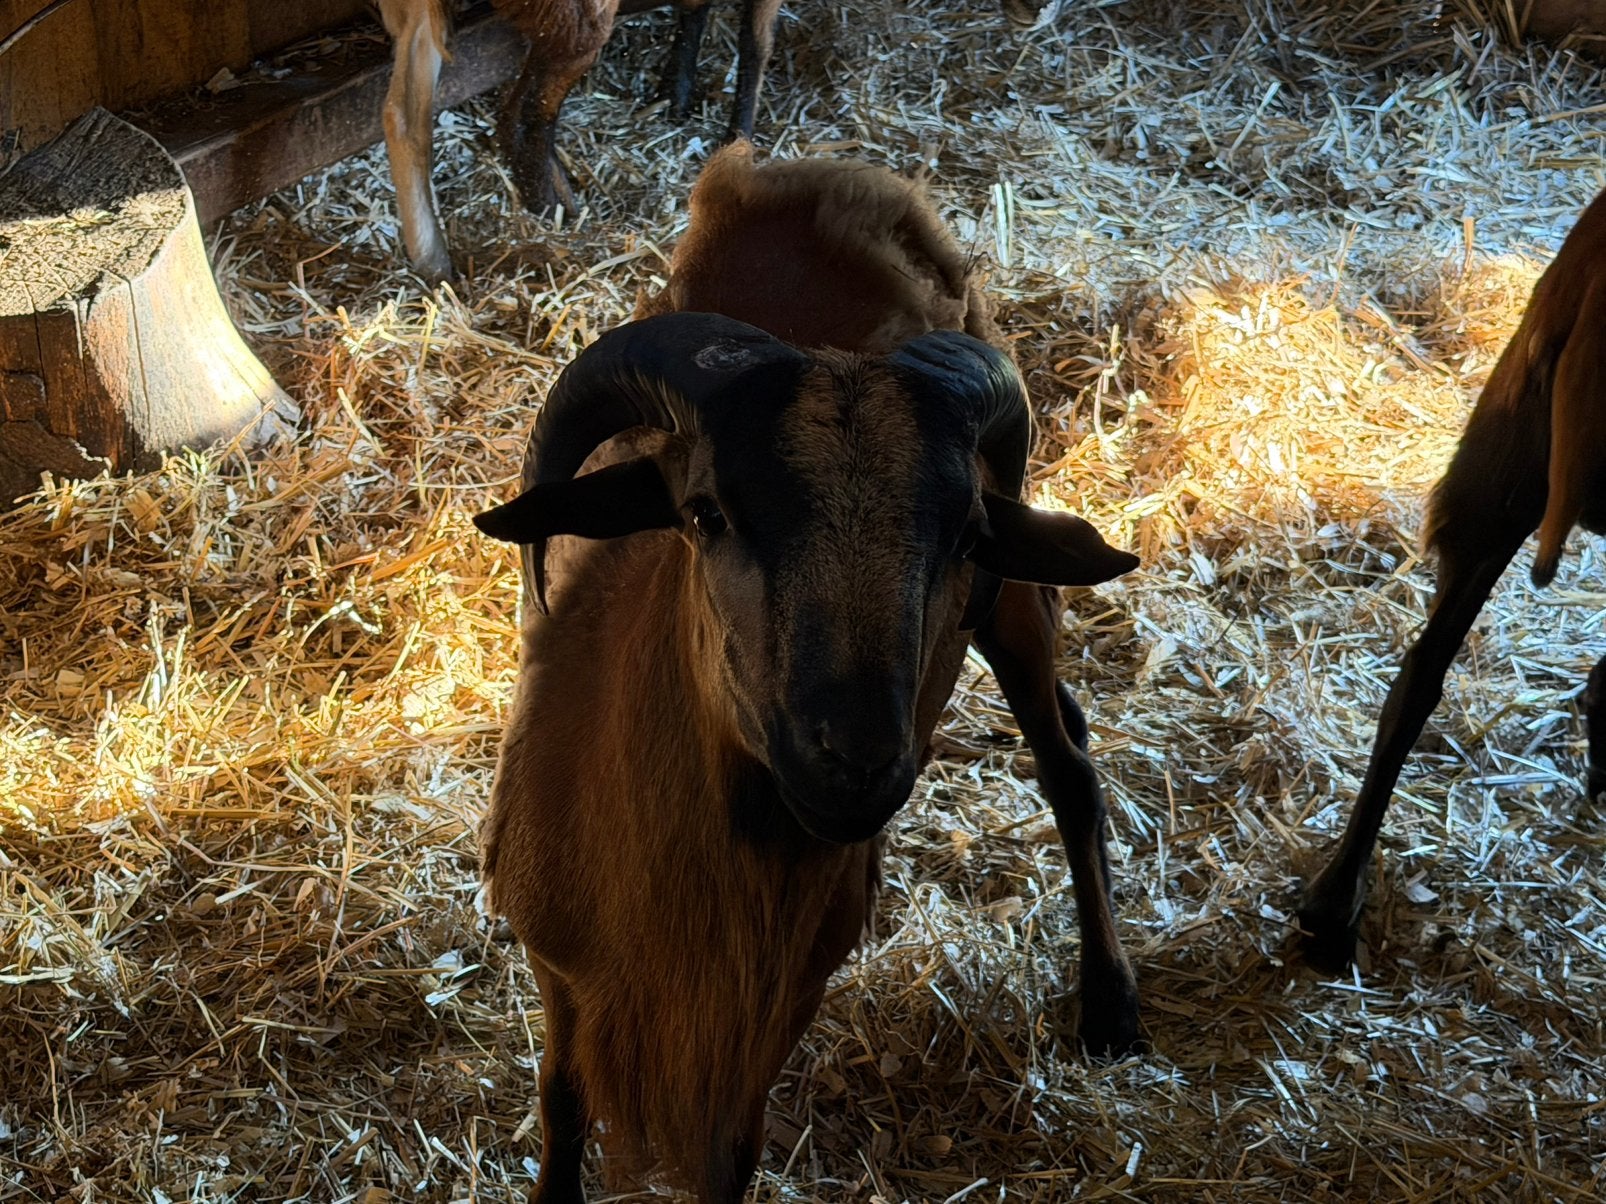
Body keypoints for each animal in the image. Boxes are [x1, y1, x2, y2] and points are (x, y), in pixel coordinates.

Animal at [377, 0, 786, 281]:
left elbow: (700, 12)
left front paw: (676, 94)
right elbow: (757, 41)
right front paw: (740, 138)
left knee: (403, 115)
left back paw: (433, 264)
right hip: (578, 15)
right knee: (521, 118)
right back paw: (555, 214)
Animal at [472, 142, 1143, 1202]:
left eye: (965, 534)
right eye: (703, 513)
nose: (853, 761)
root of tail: (833, 172)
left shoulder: (777, 1001)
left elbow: (729, 1159)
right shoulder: (561, 969)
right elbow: (563, 1110)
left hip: (1015, 606)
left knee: (1068, 762)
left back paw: (1111, 1008)